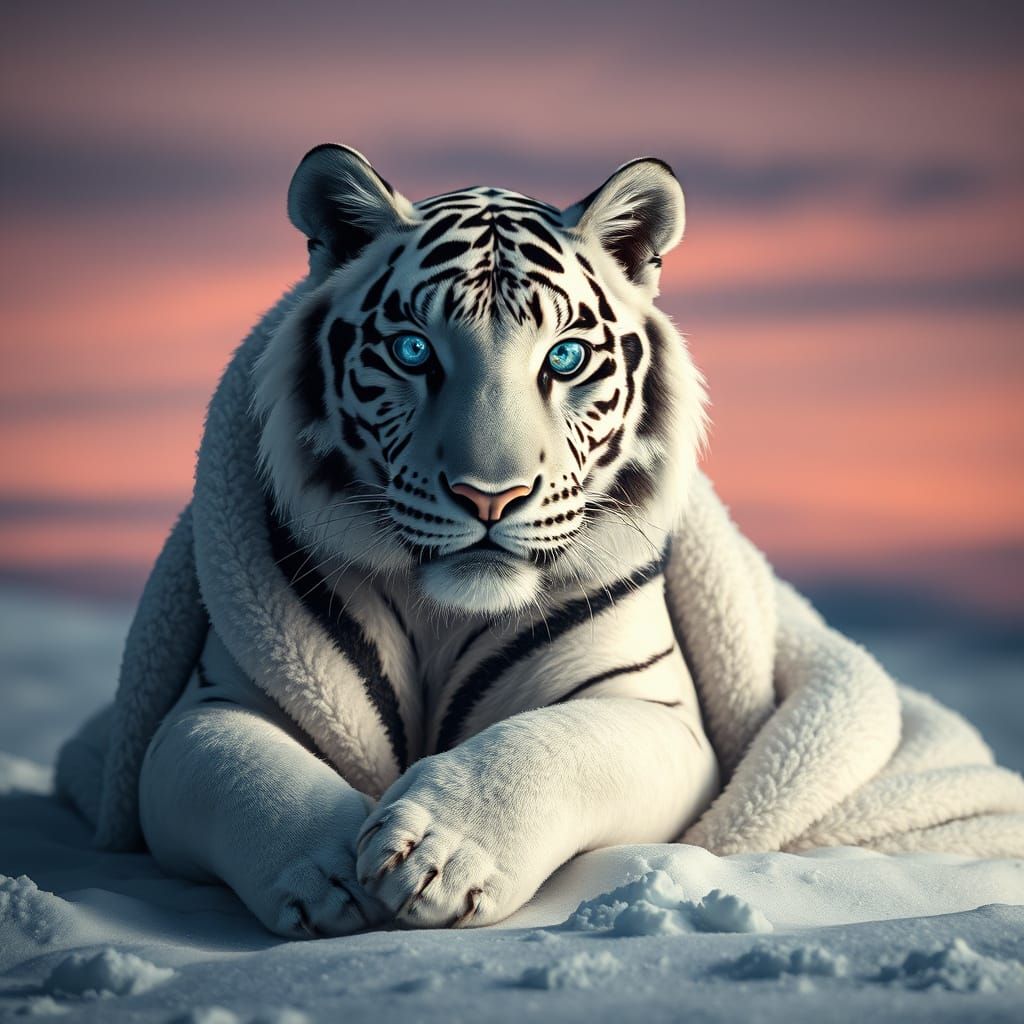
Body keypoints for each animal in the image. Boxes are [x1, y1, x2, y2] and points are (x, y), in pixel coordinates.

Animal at [139, 144, 721, 937]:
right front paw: (326, 869)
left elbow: (554, 745)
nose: (490, 495)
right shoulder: (211, 705)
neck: (445, 615)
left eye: (564, 359)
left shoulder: (655, 712)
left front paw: (442, 851)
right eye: (414, 352)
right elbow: (244, 771)